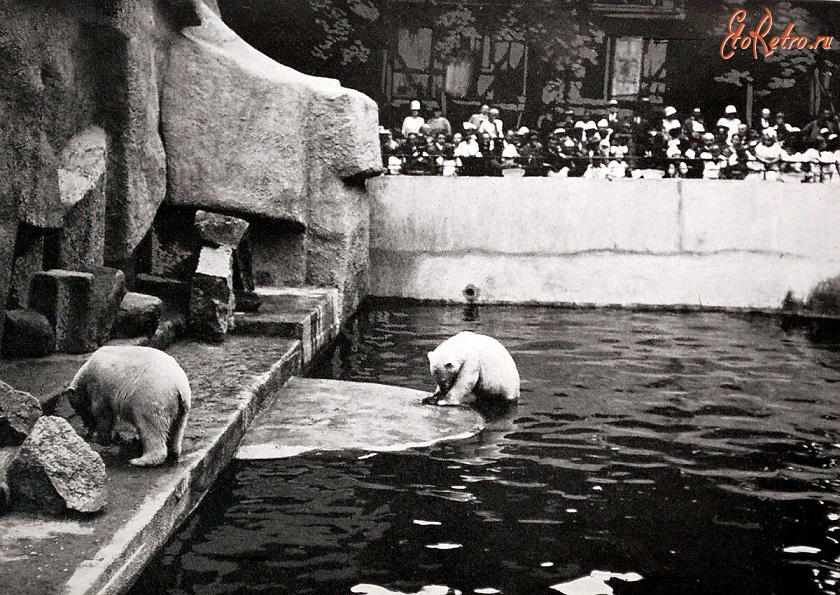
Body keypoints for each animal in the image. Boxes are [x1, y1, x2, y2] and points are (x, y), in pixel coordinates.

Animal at [64, 346, 192, 468]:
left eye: (78, 409)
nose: (86, 425)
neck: (86, 371)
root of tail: (178, 387)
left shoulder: (99, 387)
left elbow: (103, 413)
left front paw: (100, 439)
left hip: (152, 398)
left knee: (150, 426)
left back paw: (140, 460)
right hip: (180, 407)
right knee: (177, 427)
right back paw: (173, 452)